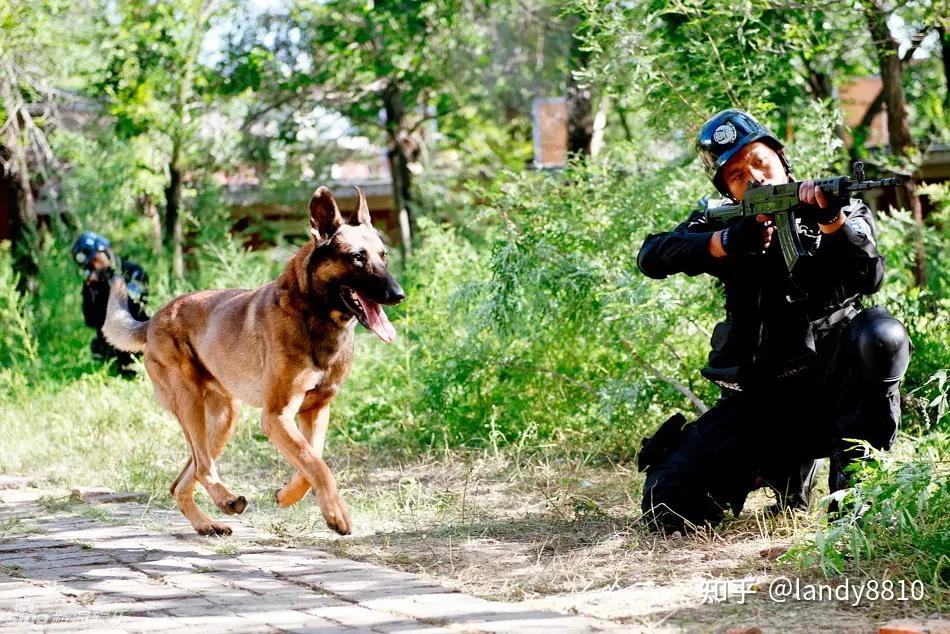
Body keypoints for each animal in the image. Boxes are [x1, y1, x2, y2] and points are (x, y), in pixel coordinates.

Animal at [105, 184, 406, 532]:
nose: (398, 294)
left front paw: (288, 495)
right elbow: (316, 464)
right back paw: (224, 500)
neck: (314, 317)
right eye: (357, 257)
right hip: (191, 404)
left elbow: (311, 460)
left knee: (183, 480)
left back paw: (208, 524)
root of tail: (153, 319)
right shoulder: (276, 416)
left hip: (223, 419)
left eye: (383, 256)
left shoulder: (316, 411)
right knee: (203, 467)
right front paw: (337, 513)